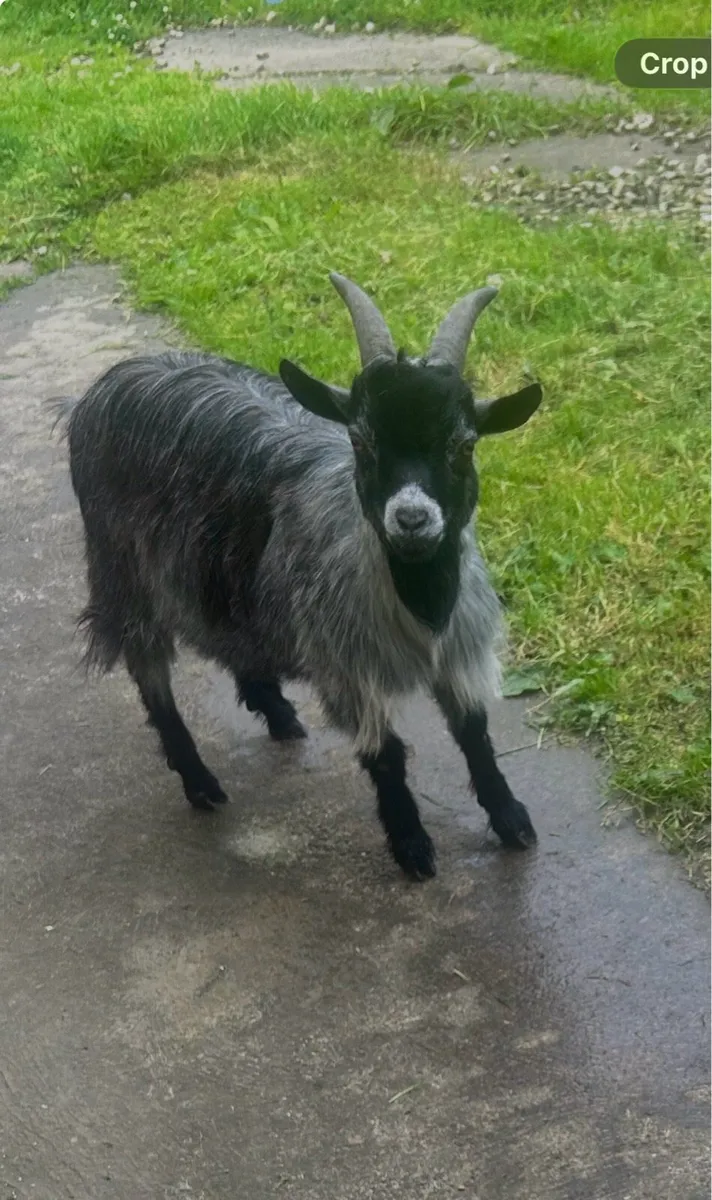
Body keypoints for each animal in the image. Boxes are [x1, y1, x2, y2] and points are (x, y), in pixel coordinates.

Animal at [59, 272, 542, 880]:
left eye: (464, 443)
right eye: (360, 440)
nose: (411, 518)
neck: (420, 604)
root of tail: (108, 383)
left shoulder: (458, 651)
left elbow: (474, 733)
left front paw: (512, 820)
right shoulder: (348, 664)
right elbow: (386, 755)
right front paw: (411, 846)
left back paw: (276, 709)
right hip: (124, 571)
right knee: (151, 678)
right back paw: (200, 783)